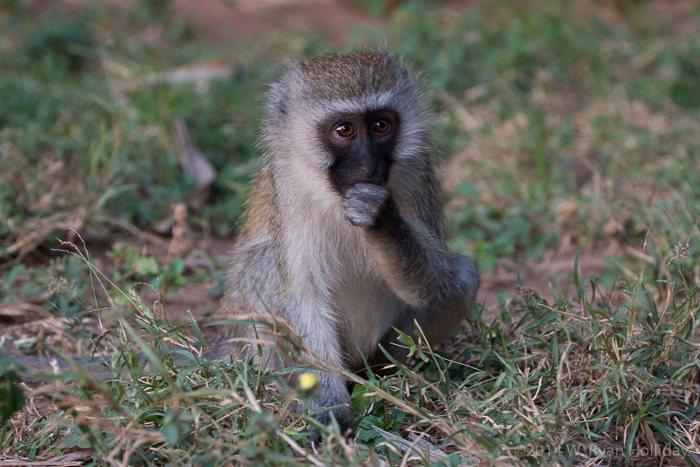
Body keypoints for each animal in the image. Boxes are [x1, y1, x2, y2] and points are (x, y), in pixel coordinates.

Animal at [224, 50, 482, 436]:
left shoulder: (417, 172)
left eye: (381, 126)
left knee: (462, 274)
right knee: (264, 263)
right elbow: (304, 297)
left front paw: (380, 217)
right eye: (344, 129)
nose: (369, 164)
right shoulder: (286, 187)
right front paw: (329, 415)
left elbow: (431, 283)